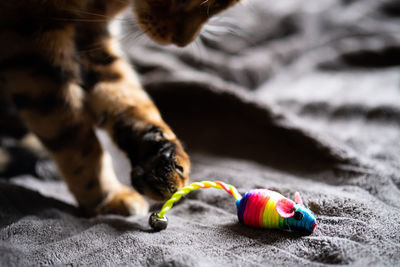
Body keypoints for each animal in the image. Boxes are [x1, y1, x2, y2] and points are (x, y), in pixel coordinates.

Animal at [0, 0, 241, 217]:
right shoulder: (32, 41)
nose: (181, 43)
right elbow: (73, 135)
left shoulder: (93, 35)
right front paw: (105, 196)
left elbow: (129, 99)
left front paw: (160, 159)